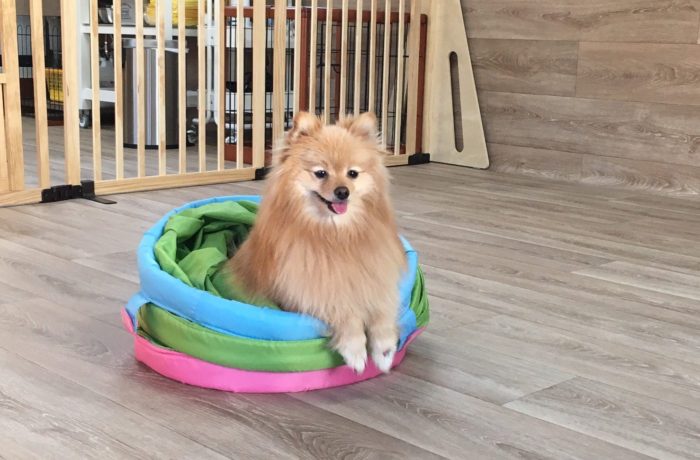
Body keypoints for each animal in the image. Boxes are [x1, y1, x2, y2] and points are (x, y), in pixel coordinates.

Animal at [228, 111, 406, 373]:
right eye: (321, 173)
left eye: (353, 173)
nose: (343, 191)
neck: (336, 235)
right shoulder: (310, 288)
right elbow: (344, 311)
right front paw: (355, 350)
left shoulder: (375, 274)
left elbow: (383, 305)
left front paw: (384, 350)